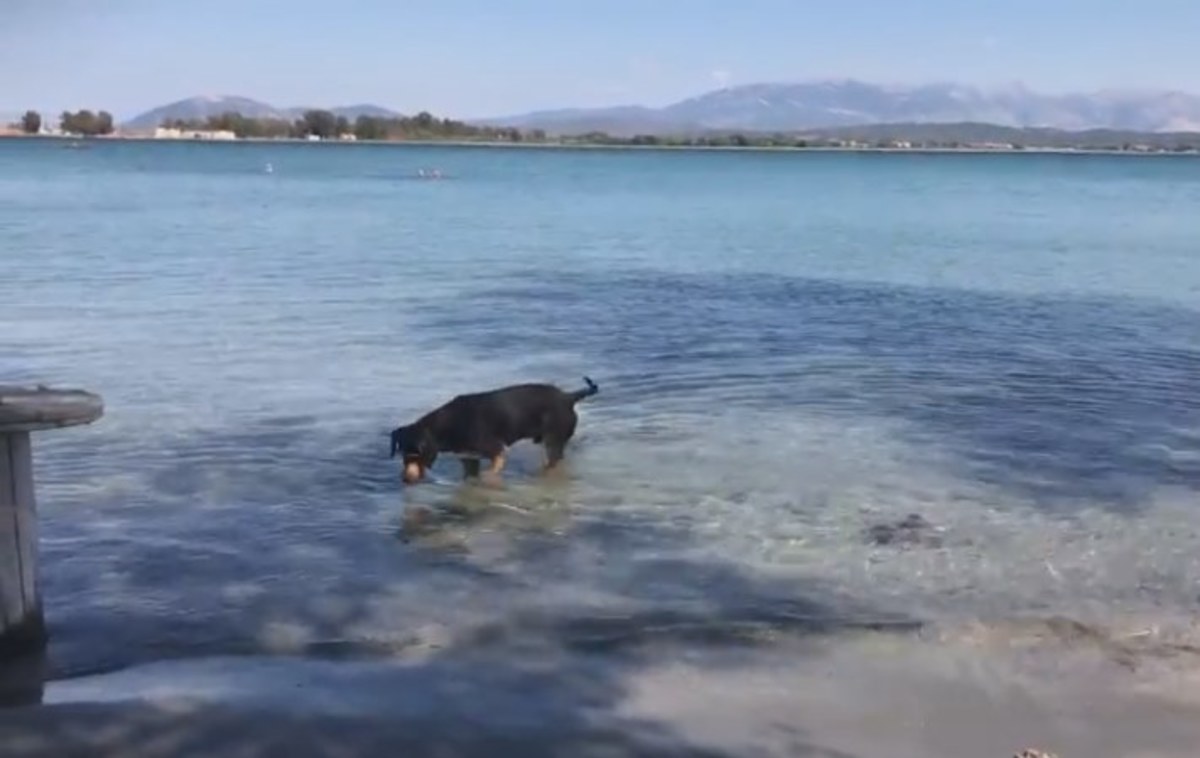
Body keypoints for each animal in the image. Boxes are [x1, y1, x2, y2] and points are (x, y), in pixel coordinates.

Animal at [391, 374, 600, 484]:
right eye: (402, 454)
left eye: (417, 455)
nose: (405, 479)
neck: (445, 426)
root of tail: (569, 397)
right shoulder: (468, 458)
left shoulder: (496, 450)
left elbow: (492, 470)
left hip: (553, 441)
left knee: (553, 461)